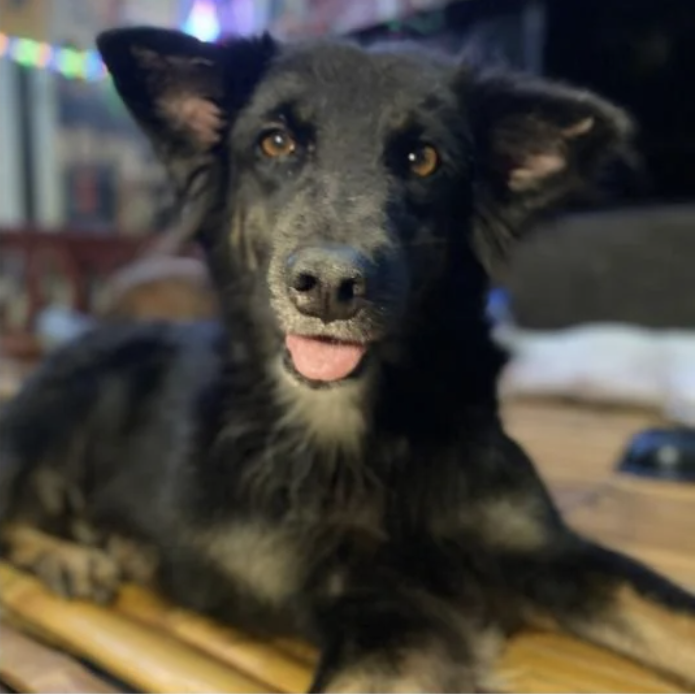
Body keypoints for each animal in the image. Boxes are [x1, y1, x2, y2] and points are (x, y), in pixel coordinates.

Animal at [1, 25, 695, 692]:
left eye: (423, 159)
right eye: (275, 143)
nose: (329, 288)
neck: (359, 432)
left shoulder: (550, 553)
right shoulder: (380, 616)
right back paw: (70, 556)